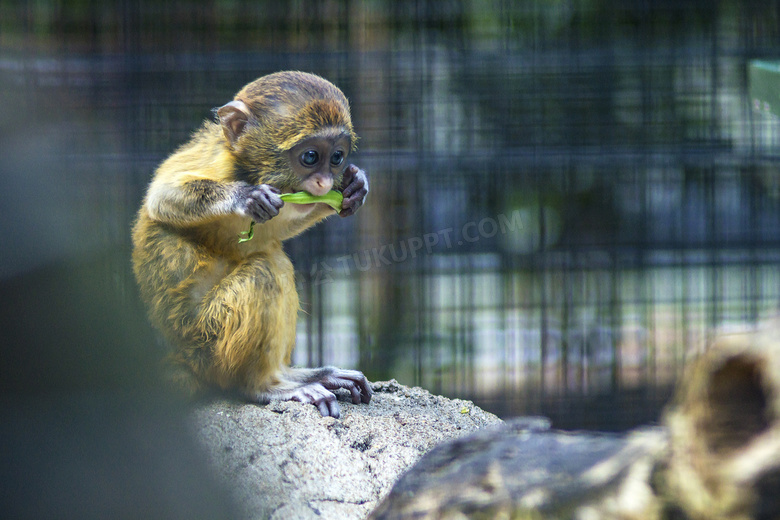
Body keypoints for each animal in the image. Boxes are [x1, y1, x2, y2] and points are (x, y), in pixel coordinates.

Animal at [133, 70, 374, 418]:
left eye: (337, 158)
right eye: (310, 157)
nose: (326, 183)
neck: (251, 171)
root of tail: (184, 358)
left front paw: (355, 186)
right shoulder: (218, 161)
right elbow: (161, 198)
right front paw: (245, 197)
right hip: (208, 342)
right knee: (265, 271)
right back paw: (264, 385)